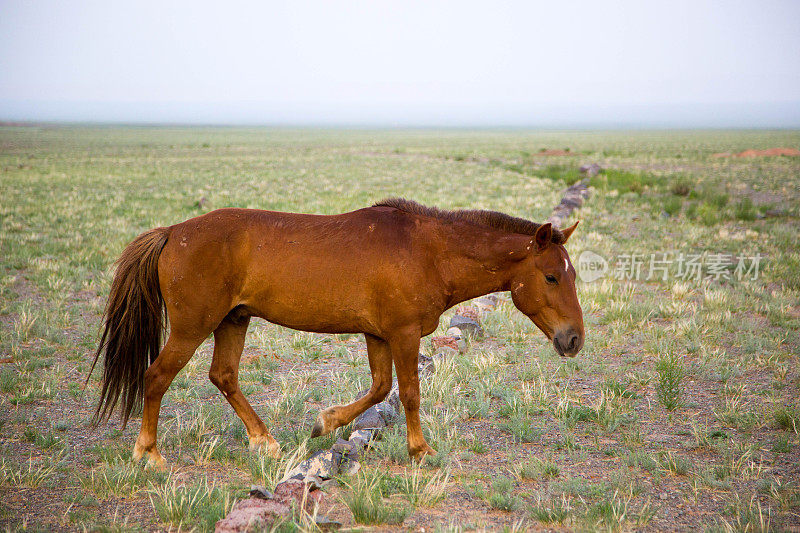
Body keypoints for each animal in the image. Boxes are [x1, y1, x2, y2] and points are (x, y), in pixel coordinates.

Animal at [90, 197, 584, 468]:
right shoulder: (403, 334)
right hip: (194, 327)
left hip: (233, 320)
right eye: (551, 277)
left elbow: (380, 388)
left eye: (573, 273)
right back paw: (149, 453)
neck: (430, 251)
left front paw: (325, 422)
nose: (574, 339)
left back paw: (264, 441)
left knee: (224, 376)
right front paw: (420, 450)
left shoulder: (379, 335)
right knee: (156, 377)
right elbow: (408, 393)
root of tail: (173, 231)